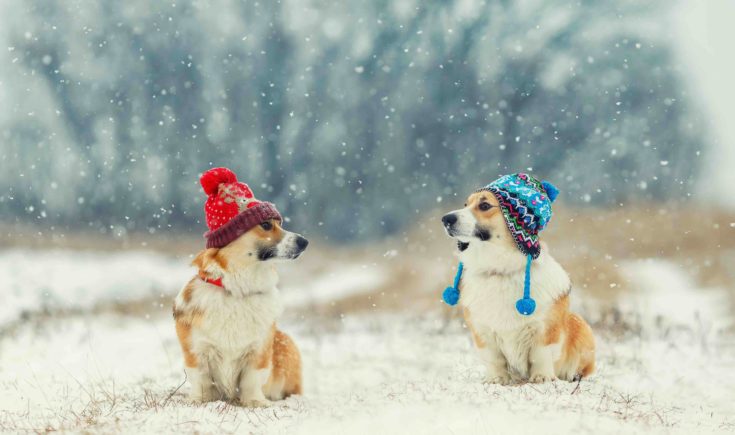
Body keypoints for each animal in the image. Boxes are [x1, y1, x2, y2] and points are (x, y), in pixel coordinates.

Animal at [174, 168, 310, 408]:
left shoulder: (259, 350)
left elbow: (251, 379)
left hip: (285, 342)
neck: (238, 288)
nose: (304, 242)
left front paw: (255, 402)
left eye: (279, 223)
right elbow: (201, 379)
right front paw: (200, 401)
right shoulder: (196, 350)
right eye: (266, 225)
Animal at [440, 174, 596, 384]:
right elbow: (494, 359)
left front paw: (542, 378)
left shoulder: (544, 329)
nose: (446, 219)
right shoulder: (482, 331)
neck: (500, 270)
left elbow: (540, 355)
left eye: (484, 205)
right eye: (466, 204)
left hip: (581, 325)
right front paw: (496, 380)